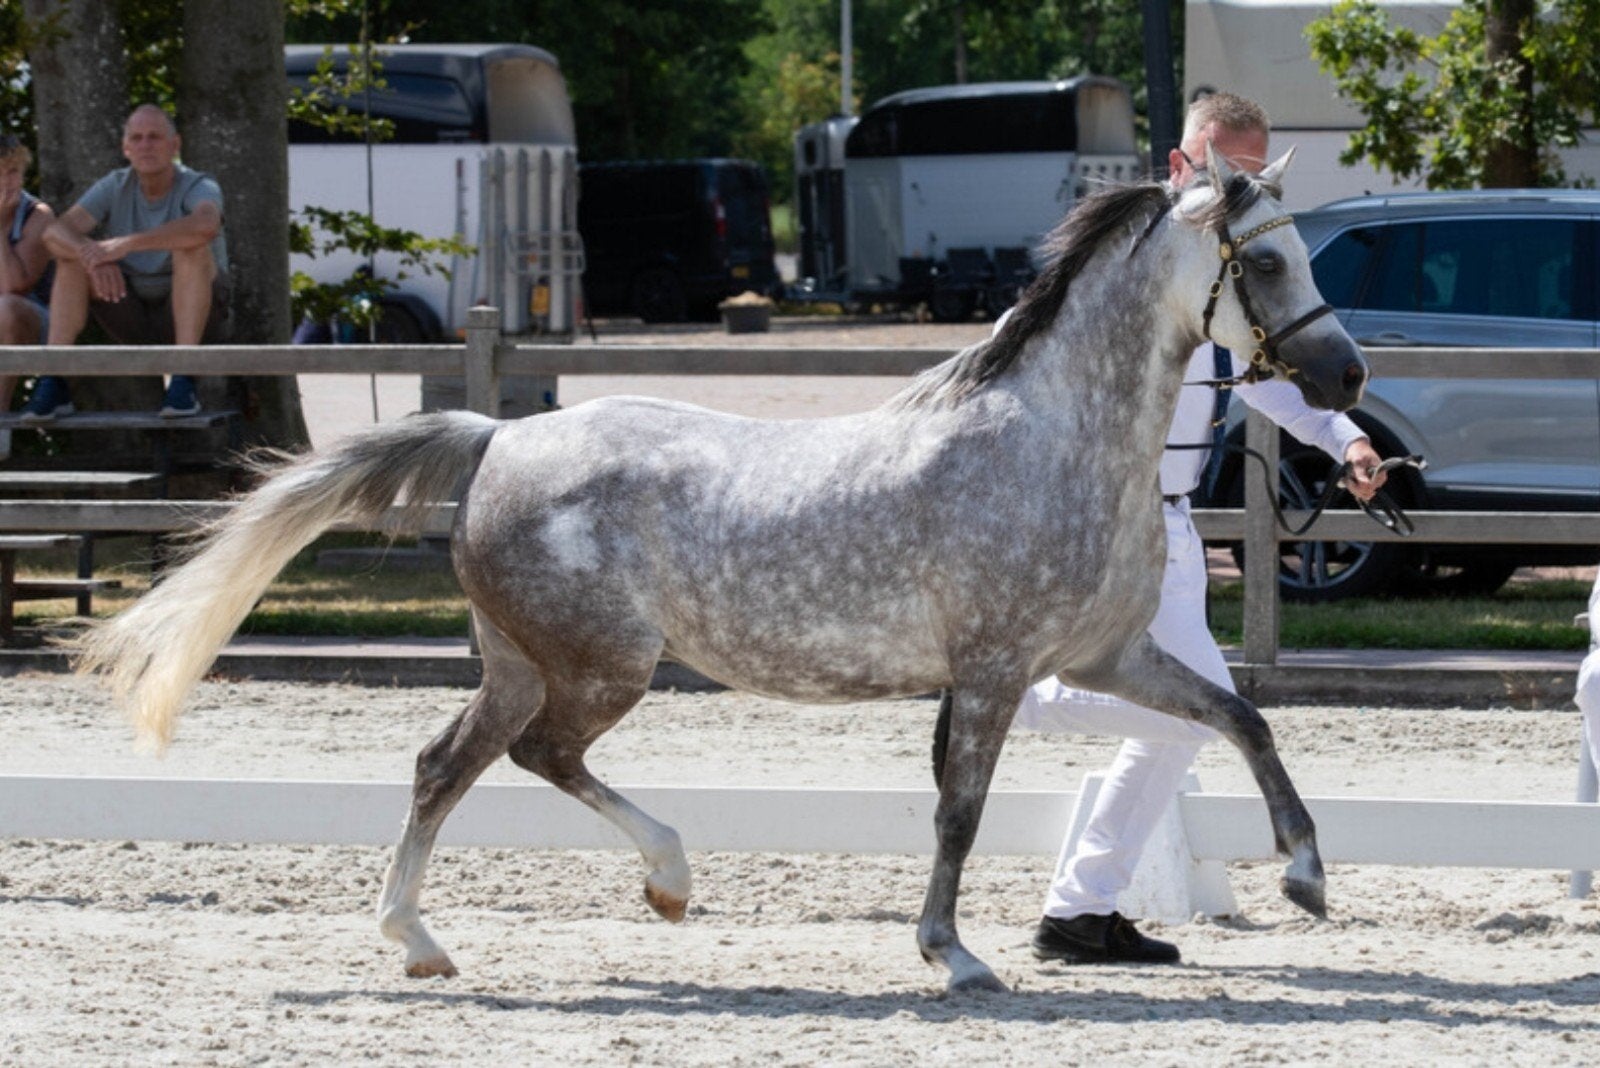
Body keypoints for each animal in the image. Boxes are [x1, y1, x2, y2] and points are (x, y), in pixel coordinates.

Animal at [77, 145, 1367, 994]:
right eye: (1266, 266)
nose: (1347, 380)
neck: (1057, 437)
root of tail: (495, 438)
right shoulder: (996, 670)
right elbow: (958, 809)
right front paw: (952, 956)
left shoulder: (1105, 655)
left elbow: (1243, 719)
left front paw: (1304, 876)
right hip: (599, 666)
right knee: (536, 758)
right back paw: (665, 881)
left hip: (521, 661)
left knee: (445, 764)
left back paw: (427, 942)